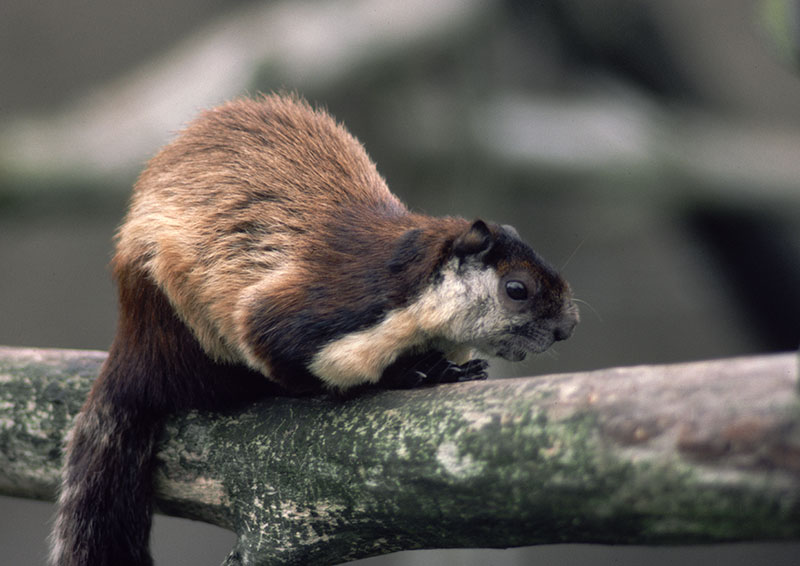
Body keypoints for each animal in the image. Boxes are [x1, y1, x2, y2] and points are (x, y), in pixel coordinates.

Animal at [50, 93, 578, 566]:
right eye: (517, 289)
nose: (567, 328)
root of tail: (130, 351)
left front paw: (448, 366)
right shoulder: (300, 312)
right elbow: (308, 367)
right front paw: (422, 374)